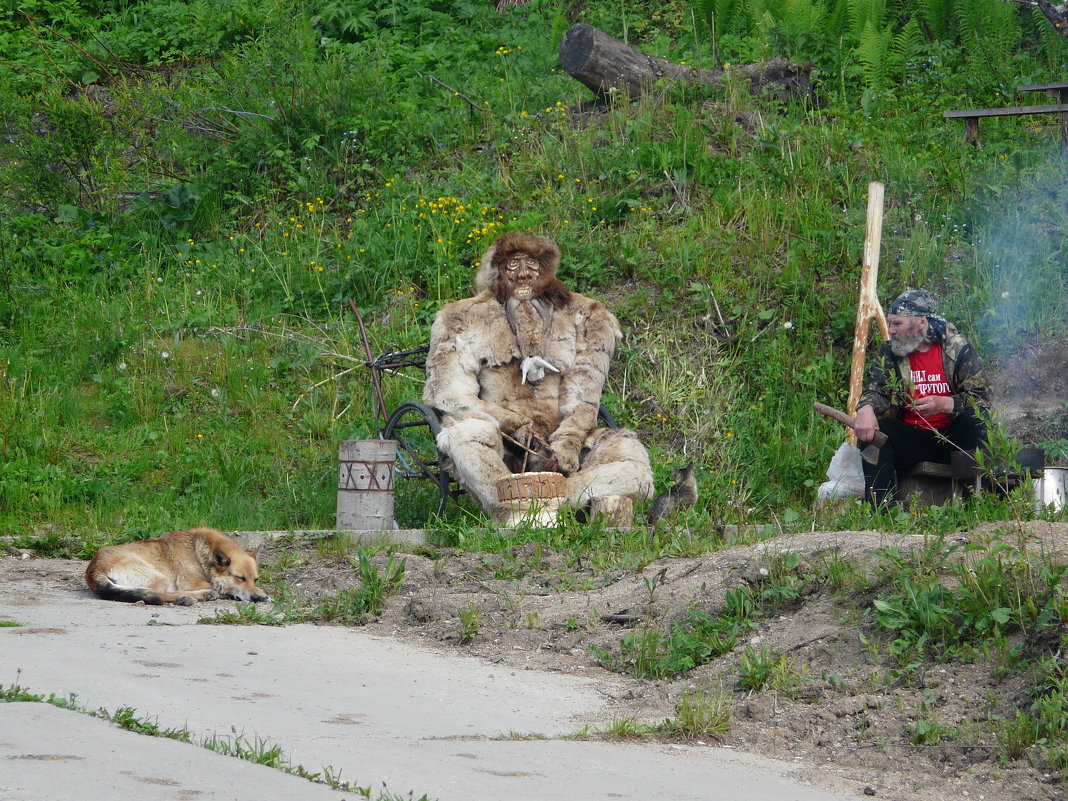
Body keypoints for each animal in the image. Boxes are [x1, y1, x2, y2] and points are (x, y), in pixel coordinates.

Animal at [87, 529, 271, 606]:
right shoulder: (194, 583)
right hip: (158, 576)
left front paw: (262, 594)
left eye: (255, 579)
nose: (255, 598)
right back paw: (196, 596)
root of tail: (93, 569)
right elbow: (225, 588)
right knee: (159, 594)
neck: (200, 551)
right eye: (240, 578)